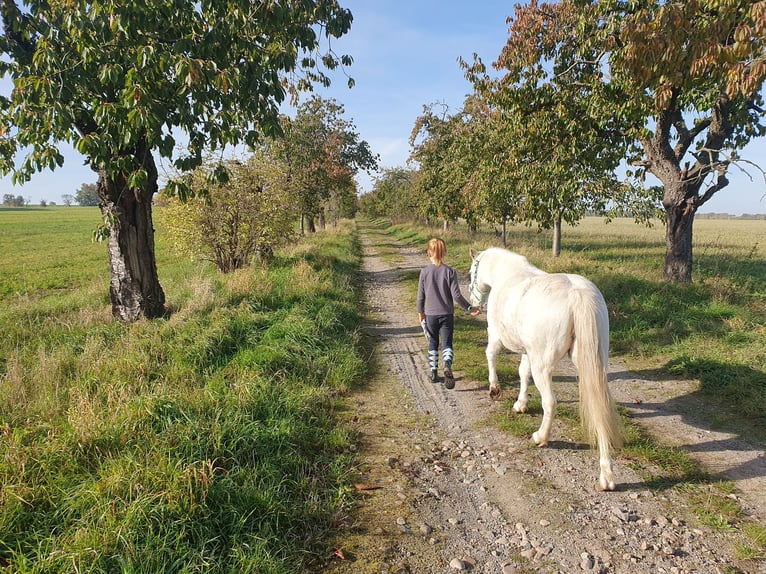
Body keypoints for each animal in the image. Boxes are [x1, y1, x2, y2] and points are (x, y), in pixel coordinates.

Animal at [468, 246, 624, 490]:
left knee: (550, 402)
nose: (472, 304)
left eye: (471, 273)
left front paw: (494, 389)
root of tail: (577, 293)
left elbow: (491, 355)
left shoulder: (496, 335)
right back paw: (606, 475)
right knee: (601, 409)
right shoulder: (527, 351)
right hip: (595, 366)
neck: (507, 275)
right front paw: (520, 404)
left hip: (543, 365)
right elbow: (523, 373)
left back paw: (541, 437)